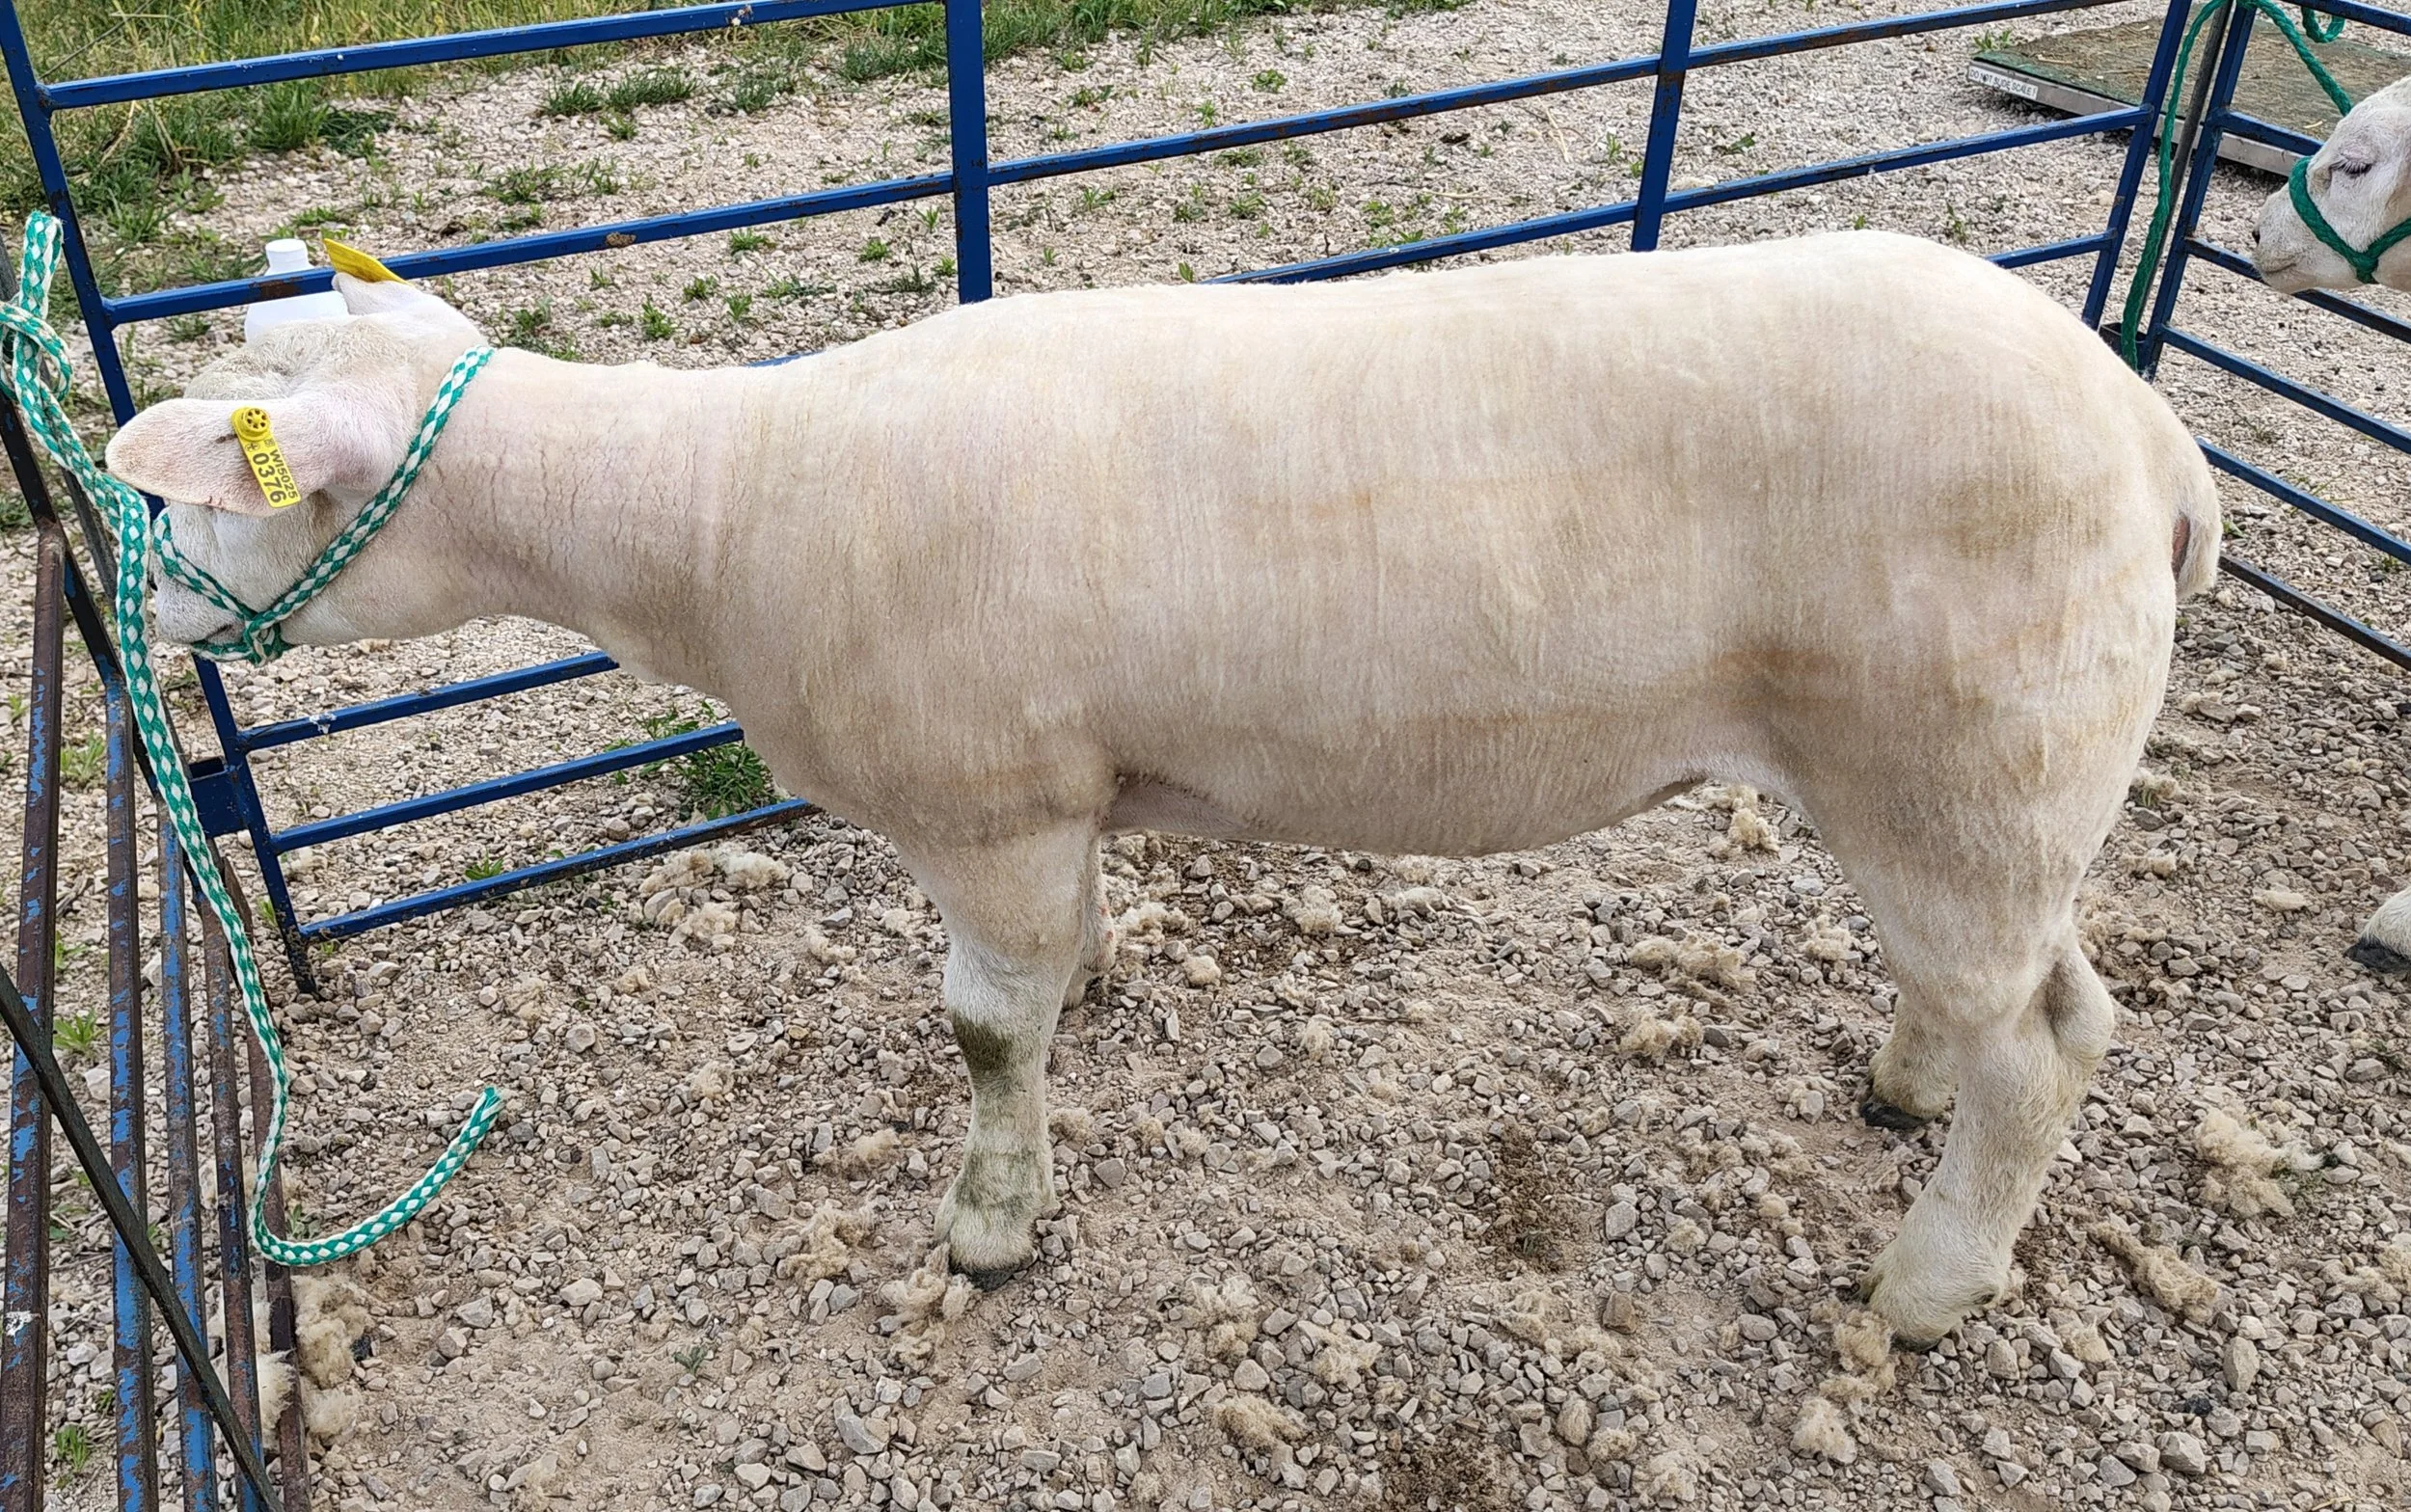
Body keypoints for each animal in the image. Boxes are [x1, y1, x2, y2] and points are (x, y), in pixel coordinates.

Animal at [105, 230, 2218, 1346]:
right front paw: (1099, 986)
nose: (156, 606)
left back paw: (1932, 1272)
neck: (719, 514)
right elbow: (1053, 967)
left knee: (2055, 1040)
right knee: (2003, 998)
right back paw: (1907, 1085)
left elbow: (978, 1029)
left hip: (1973, 767)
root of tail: (2143, 423)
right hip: (1968, 800)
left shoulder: (976, 800)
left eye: (231, 477)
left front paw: (988, 1219)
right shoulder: (1052, 795)